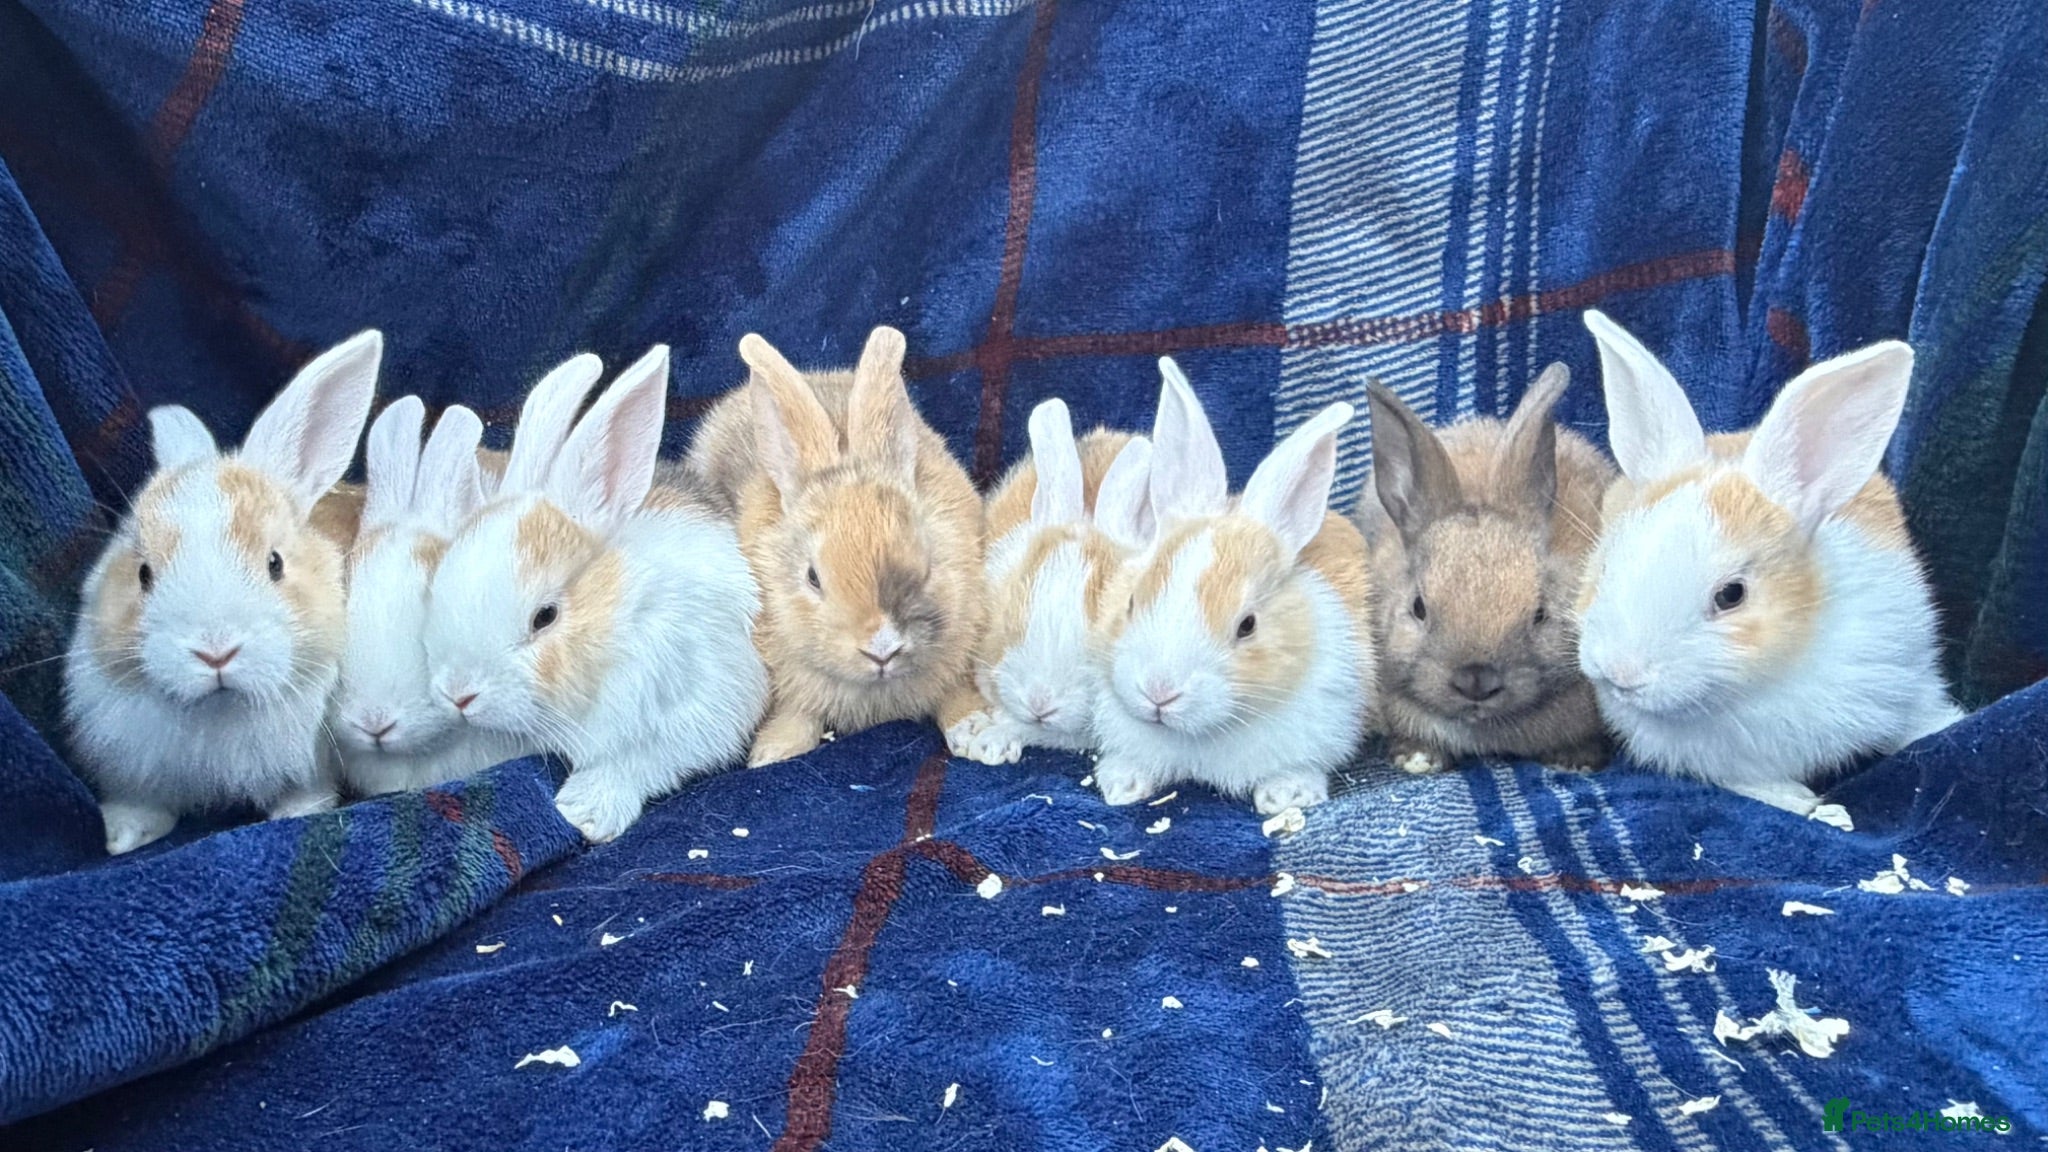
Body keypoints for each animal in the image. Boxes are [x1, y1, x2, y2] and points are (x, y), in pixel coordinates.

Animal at [63, 330, 382, 854]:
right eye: (143, 574)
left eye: (275, 564)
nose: (215, 652)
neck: (219, 711)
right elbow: (142, 802)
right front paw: (122, 834)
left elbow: (305, 790)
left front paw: (296, 812)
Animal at [423, 346, 770, 843]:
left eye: (545, 616)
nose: (457, 694)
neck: (617, 623)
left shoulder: (702, 705)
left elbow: (642, 760)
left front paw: (584, 812)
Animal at [682, 327, 986, 766]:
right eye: (813, 577)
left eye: (927, 564)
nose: (882, 649)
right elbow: (795, 712)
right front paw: (773, 752)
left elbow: (957, 695)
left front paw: (984, 739)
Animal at [1574, 309, 1965, 816]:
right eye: (1605, 568)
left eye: (1731, 595)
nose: (1621, 673)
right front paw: (1815, 808)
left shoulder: (1906, 674)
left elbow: (1922, 718)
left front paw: (1949, 725)